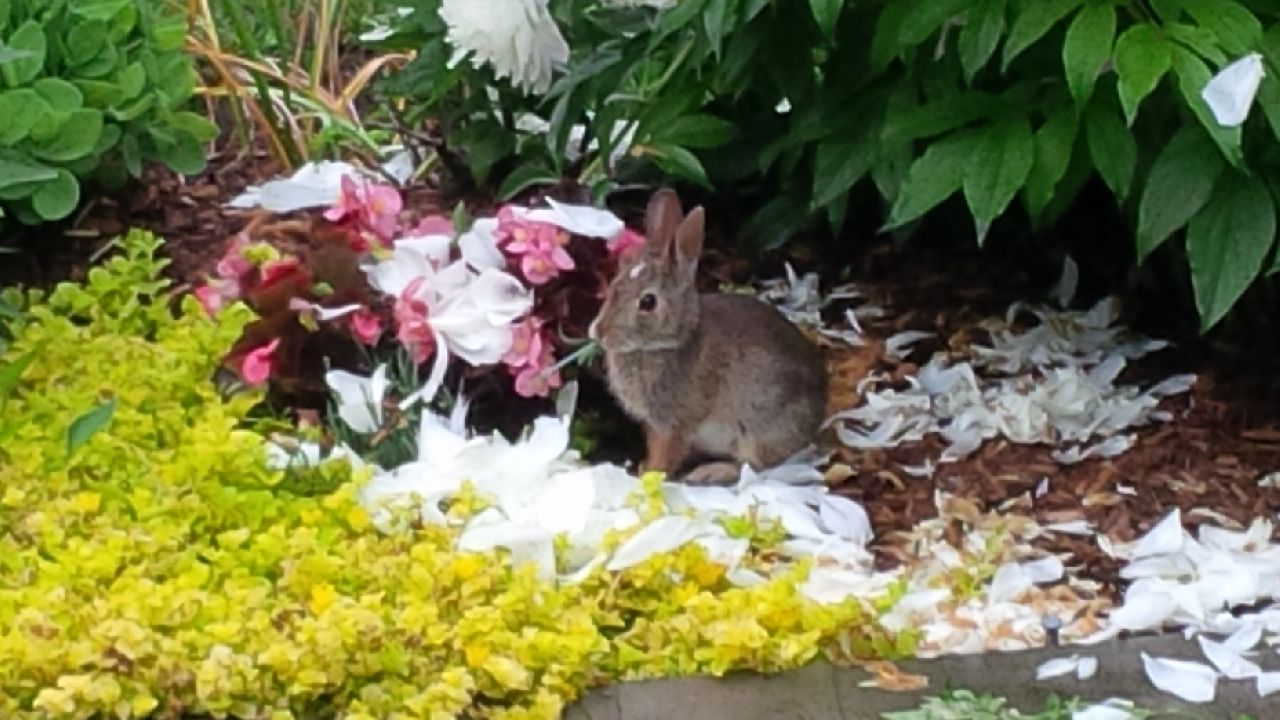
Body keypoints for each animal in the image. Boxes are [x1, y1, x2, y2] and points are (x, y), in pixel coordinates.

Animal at [588, 188, 828, 485]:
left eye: (648, 302)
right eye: (614, 284)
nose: (599, 332)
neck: (671, 341)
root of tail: (818, 415)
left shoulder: (674, 423)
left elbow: (666, 455)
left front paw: (649, 476)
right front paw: (643, 468)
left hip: (758, 431)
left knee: (755, 466)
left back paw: (710, 472)